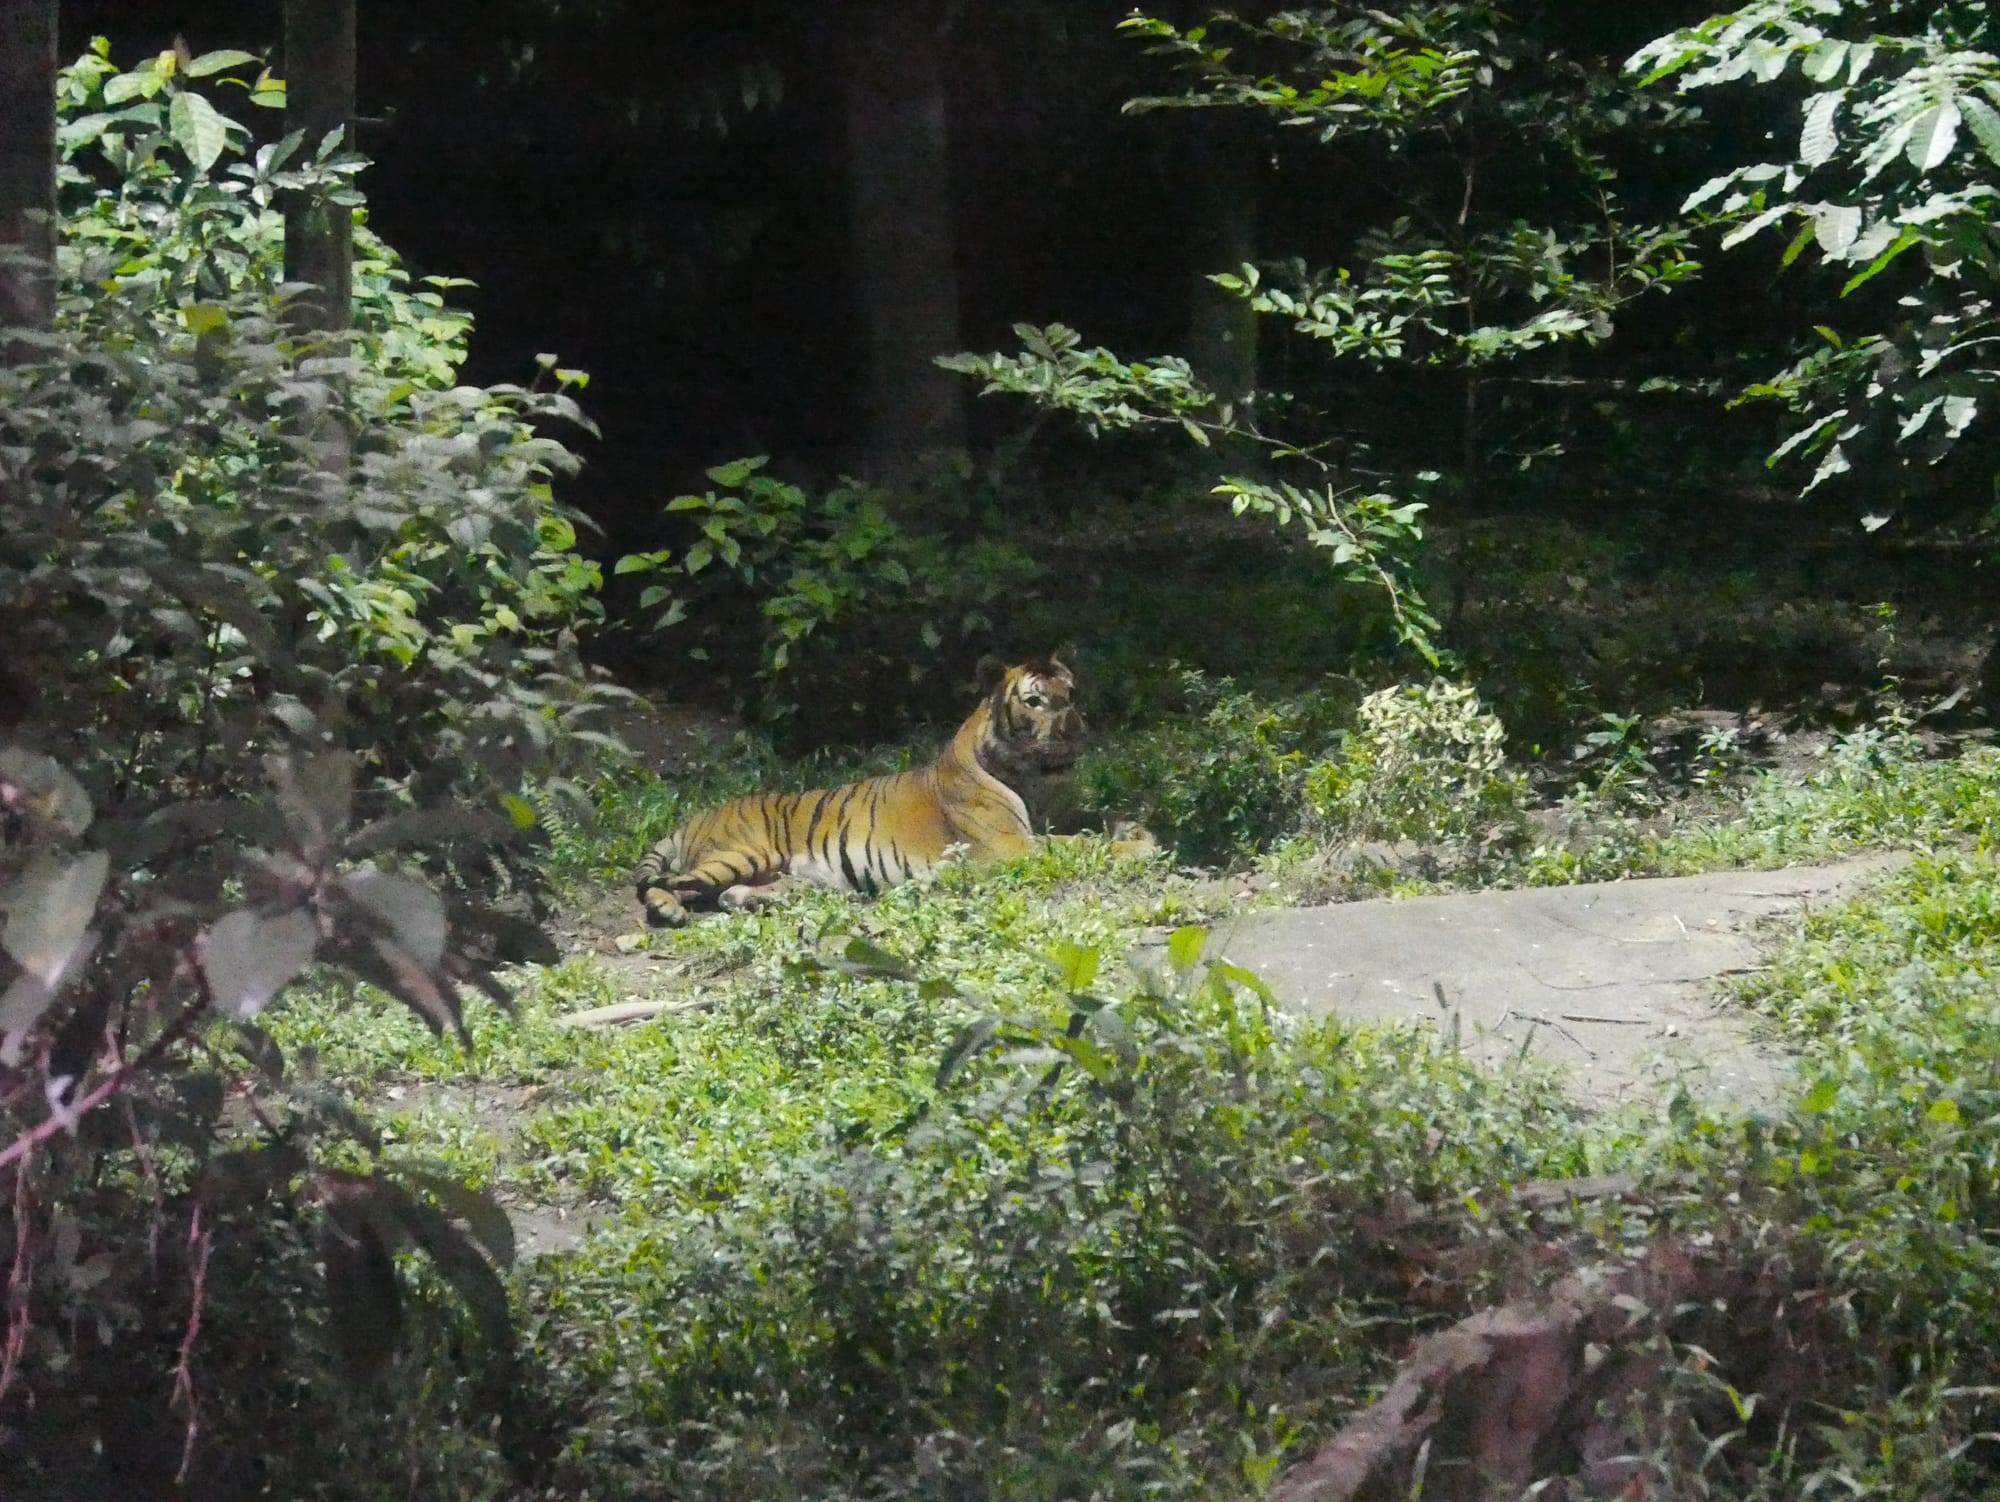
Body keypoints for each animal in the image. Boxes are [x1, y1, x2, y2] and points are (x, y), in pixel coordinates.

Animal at [633, 653, 1151, 927]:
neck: (1033, 778)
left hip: (787, 872)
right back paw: (668, 909)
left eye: (1072, 694)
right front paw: (1138, 846)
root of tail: (697, 815)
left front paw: (1136, 828)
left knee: (726, 892)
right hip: (741, 852)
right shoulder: (1011, 847)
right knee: (672, 882)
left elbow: (1096, 823)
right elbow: (1079, 845)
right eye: (1034, 701)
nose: (1077, 733)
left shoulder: (1054, 818)